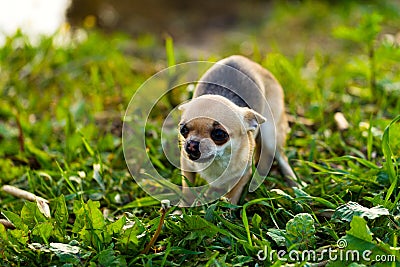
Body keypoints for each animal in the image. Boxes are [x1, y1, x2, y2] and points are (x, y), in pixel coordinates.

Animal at [178, 54, 296, 206]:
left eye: (219, 134)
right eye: (183, 130)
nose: (192, 144)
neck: (218, 161)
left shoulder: (243, 175)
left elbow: (232, 196)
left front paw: (228, 209)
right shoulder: (186, 164)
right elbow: (187, 188)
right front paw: (183, 207)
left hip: (271, 134)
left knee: (281, 157)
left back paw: (294, 183)